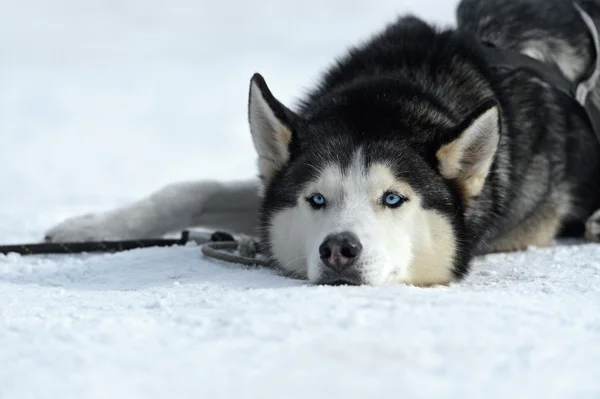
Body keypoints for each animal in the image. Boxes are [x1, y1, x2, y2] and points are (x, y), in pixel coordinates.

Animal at [44, 0, 600, 288]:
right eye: (316, 199)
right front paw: (87, 228)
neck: (397, 88)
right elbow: (193, 189)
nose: (339, 249)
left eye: (393, 198)